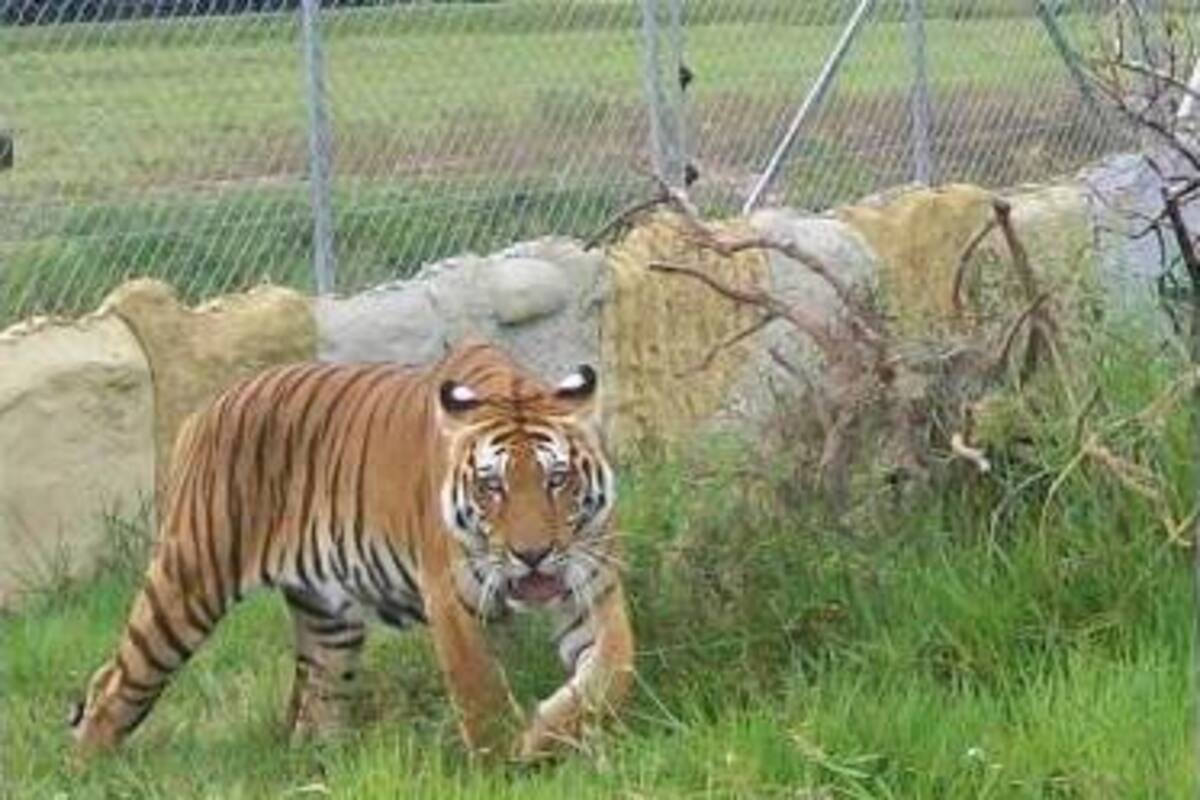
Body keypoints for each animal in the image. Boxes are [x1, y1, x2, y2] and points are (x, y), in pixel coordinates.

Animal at [69, 341, 633, 760]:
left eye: (556, 479)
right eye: (492, 486)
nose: (532, 554)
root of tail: (204, 410)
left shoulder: (593, 588)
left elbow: (613, 673)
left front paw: (544, 733)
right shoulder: (452, 602)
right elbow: (481, 695)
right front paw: (508, 762)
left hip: (329, 620)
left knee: (317, 704)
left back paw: (323, 763)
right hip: (187, 583)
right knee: (114, 685)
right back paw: (88, 767)